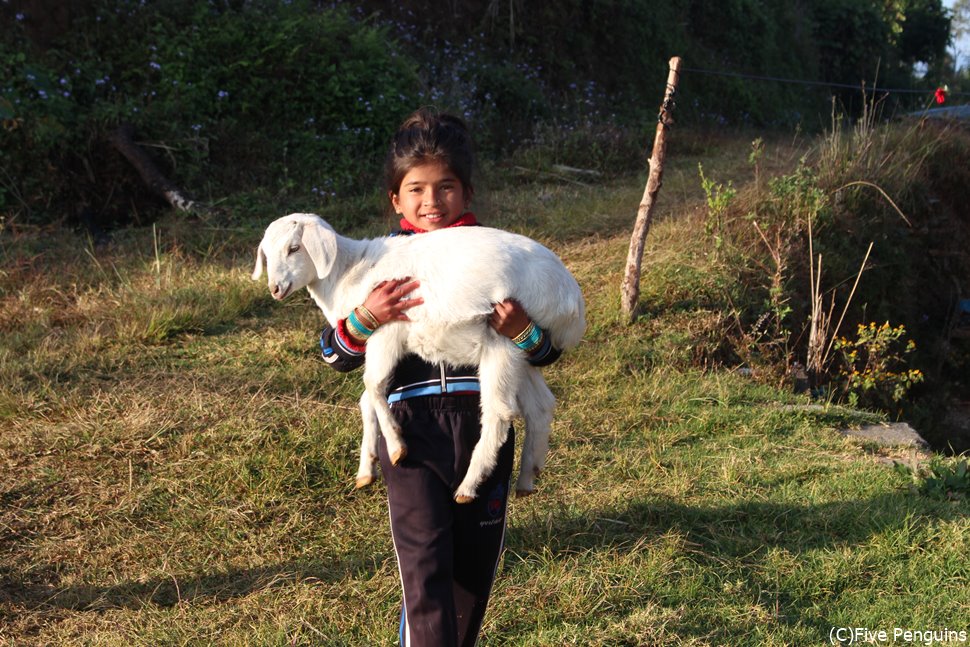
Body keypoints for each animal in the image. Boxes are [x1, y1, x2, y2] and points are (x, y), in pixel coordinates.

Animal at [251, 215, 584, 504]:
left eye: (294, 248)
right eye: (266, 253)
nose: (275, 289)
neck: (349, 272)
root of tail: (573, 302)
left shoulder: (387, 332)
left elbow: (372, 385)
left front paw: (396, 447)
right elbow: (366, 399)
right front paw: (366, 467)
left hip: (502, 338)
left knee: (500, 413)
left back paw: (468, 486)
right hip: (520, 353)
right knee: (541, 405)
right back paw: (528, 475)